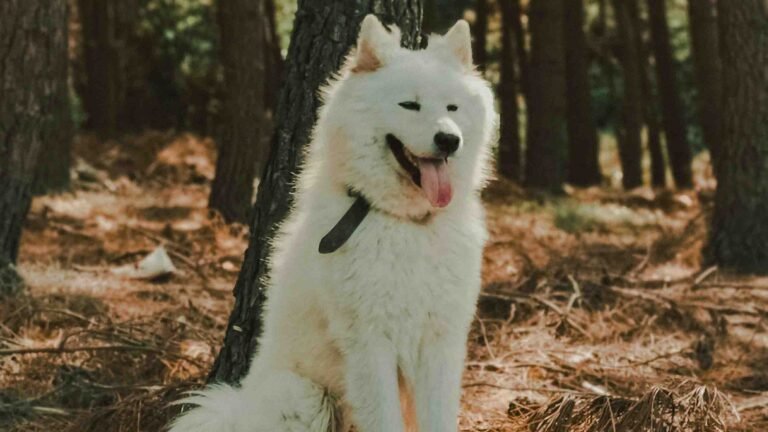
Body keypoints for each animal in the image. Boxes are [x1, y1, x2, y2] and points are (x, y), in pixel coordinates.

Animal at [169, 13, 498, 432]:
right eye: (409, 105)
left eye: (452, 108)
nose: (449, 140)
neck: (405, 222)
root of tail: (240, 408)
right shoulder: (370, 344)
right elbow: (385, 419)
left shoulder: (440, 343)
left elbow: (439, 418)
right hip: (307, 397)